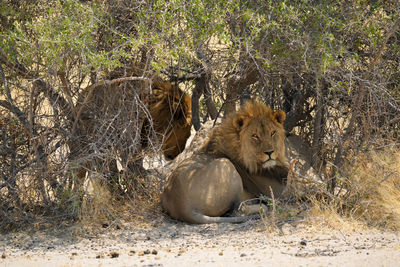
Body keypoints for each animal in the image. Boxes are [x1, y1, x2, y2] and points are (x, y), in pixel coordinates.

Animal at [161, 100, 290, 224]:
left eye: (273, 133)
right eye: (255, 136)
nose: (269, 152)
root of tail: (181, 206)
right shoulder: (277, 190)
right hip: (225, 164)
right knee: (239, 210)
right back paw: (264, 205)